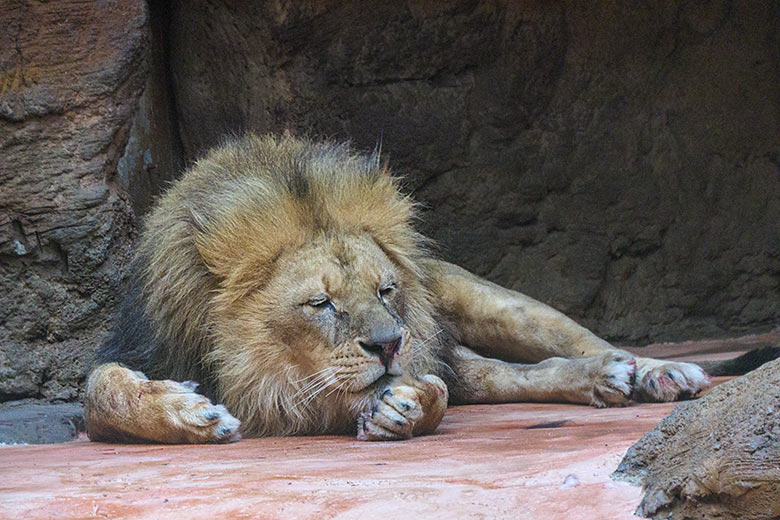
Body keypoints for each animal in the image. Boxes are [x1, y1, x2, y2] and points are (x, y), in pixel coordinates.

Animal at [82, 134, 776, 442]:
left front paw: (405, 406)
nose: (391, 344)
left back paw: (657, 373)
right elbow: (100, 392)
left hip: (488, 303)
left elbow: (427, 390)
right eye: (321, 303)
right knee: (504, 377)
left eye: (386, 290)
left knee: (575, 342)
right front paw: (190, 413)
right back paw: (605, 381)